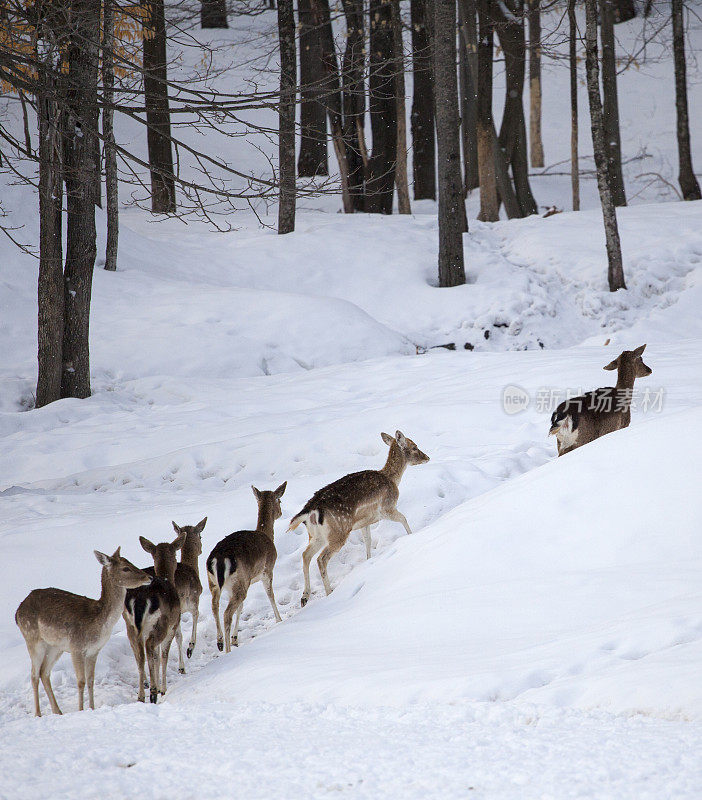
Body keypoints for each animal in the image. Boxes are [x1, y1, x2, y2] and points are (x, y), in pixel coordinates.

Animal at [15, 552, 151, 720]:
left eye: (129, 562)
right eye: (125, 568)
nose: (149, 577)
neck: (98, 624)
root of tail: (17, 612)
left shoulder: (94, 650)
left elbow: (91, 680)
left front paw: (91, 708)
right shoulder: (76, 647)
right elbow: (80, 681)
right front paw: (80, 709)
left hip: (55, 647)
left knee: (44, 672)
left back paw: (58, 711)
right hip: (32, 638)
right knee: (34, 675)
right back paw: (38, 714)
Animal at [123, 536, 187, 704]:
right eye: (175, 554)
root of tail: (140, 600)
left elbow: (156, 656)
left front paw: (158, 687)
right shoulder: (173, 625)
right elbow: (164, 655)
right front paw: (162, 689)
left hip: (130, 626)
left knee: (140, 654)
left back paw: (141, 695)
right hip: (161, 623)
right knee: (149, 646)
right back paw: (152, 692)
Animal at [206, 484, 286, 652]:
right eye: (280, 500)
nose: (281, 512)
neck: (267, 535)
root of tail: (219, 559)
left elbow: (241, 607)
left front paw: (235, 638)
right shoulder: (267, 569)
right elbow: (270, 594)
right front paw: (279, 619)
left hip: (215, 583)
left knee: (215, 605)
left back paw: (220, 641)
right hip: (240, 581)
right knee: (227, 613)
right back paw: (227, 649)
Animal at [288, 432, 432, 608]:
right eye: (414, 447)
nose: (427, 457)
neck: (392, 479)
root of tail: (310, 511)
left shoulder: (366, 521)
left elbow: (368, 540)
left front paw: (369, 560)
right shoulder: (386, 508)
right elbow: (403, 518)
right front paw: (412, 536)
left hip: (316, 535)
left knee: (305, 555)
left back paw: (305, 596)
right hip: (339, 531)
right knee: (321, 559)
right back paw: (329, 592)